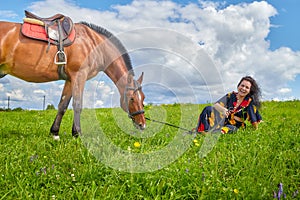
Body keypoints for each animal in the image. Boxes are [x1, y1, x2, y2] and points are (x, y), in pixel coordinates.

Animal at [0, 19, 146, 139]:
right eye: (131, 98)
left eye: (143, 98)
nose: (142, 124)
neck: (93, 43)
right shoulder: (79, 76)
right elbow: (77, 105)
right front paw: (77, 133)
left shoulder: (70, 80)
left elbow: (62, 105)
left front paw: (55, 133)